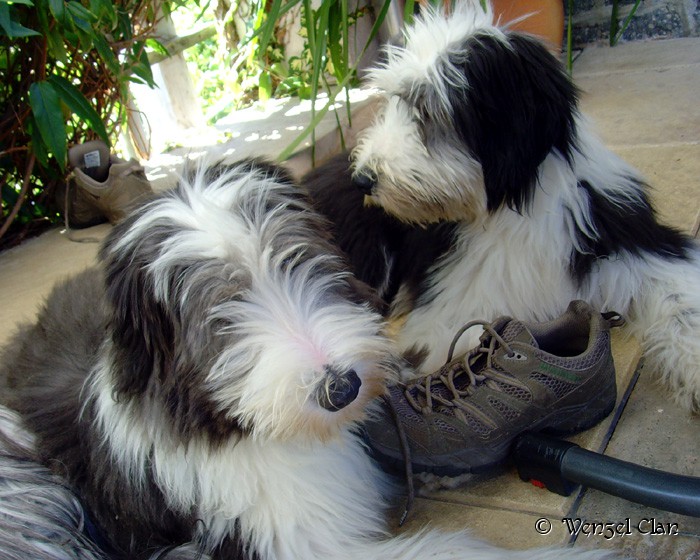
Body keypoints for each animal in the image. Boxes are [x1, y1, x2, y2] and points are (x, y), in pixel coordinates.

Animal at [306, 1, 700, 413]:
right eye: (390, 104)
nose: (364, 179)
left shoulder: (625, 238)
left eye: (428, 109)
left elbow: (681, 296)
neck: (509, 209)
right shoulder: (449, 308)